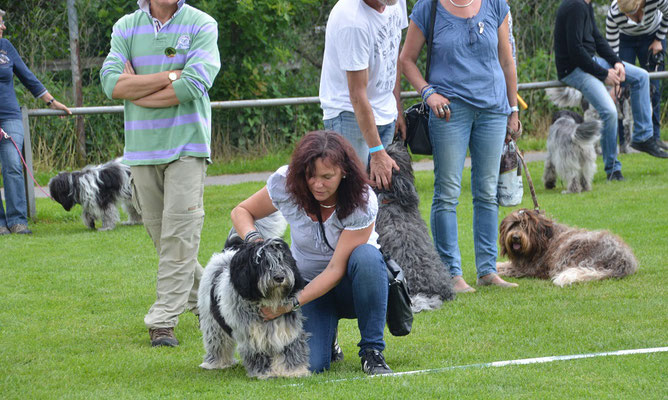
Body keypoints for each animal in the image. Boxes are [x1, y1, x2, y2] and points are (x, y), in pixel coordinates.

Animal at [193, 212, 308, 378]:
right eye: (262, 263)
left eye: (282, 259)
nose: (279, 277)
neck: (268, 300)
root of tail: (227, 253)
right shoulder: (253, 335)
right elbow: (259, 354)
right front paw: (265, 373)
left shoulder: (287, 330)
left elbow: (291, 350)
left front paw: (293, 371)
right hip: (211, 321)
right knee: (216, 342)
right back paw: (215, 363)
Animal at [496, 209, 636, 288]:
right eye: (512, 225)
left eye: (525, 227)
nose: (515, 237)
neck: (543, 240)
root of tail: (621, 261)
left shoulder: (526, 268)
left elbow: (503, 268)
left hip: (570, 250)